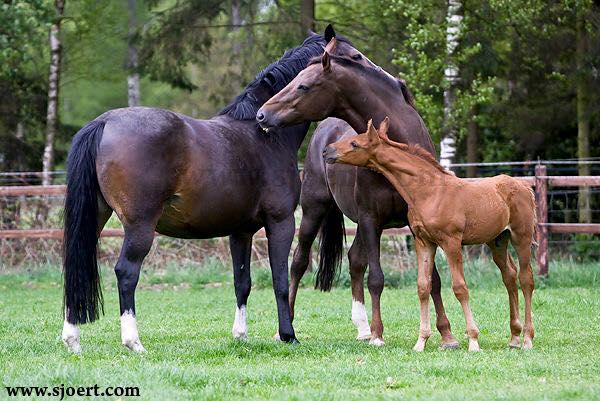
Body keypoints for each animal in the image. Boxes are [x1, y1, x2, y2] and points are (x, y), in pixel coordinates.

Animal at [326, 118, 536, 350]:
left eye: (355, 143)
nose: (327, 151)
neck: (430, 191)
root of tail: (525, 186)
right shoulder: (424, 242)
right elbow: (423, 287)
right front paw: (421, 341)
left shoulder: (451, 242)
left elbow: (460, 287)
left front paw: (473, 340)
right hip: (497, 241)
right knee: (510, 276)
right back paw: (514, 337)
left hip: (521, 237)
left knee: (526, 279)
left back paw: (527, 338)